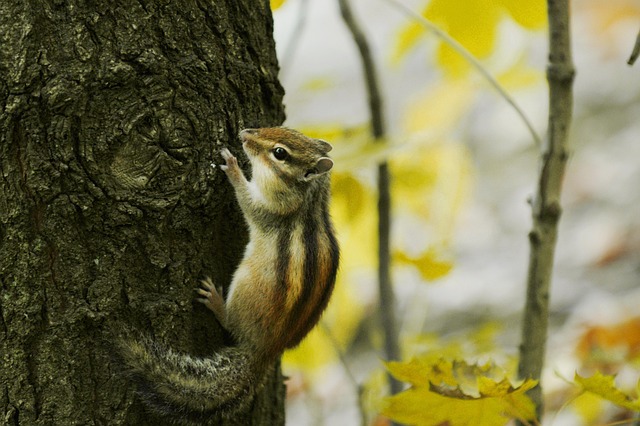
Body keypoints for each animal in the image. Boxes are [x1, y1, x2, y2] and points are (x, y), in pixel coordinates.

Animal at [119, 127, 340, 423]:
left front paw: (233, 168)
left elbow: (247, 201)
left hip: (244, 289)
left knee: (231, 324)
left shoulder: (271, 208)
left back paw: (215, 301)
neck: (310, 198)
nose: (245, 133)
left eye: (279, 153)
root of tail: (266, 350)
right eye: (290, 131)